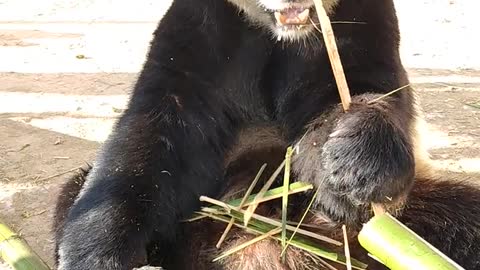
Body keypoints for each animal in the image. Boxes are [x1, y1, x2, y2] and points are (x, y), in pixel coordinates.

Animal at [52, 0, 480, 270]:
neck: (278, 34)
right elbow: (153, 136)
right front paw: (98, 255)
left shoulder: (358, 25)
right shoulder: (199, 34)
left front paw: (356, 171)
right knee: (73, 192)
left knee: (462, 219)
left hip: (421, 218)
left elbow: (369, 91)